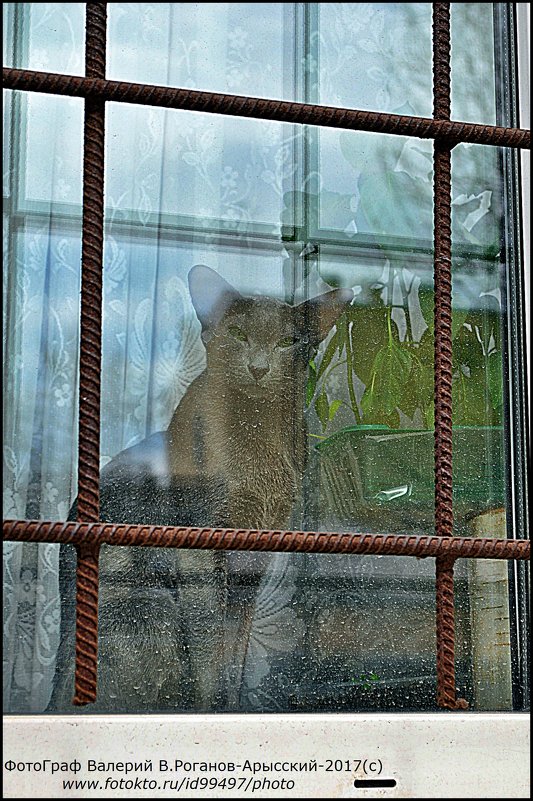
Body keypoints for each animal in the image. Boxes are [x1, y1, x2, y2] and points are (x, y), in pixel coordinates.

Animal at [47, 264, 352, 712]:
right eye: (239, 334)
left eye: (288, 342)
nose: (259, 367)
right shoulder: (200, 546)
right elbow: (209, 645)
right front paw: (210, 707)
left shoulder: (255, 561)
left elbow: (236, 650)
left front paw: (234, 706)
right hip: (150, 606)